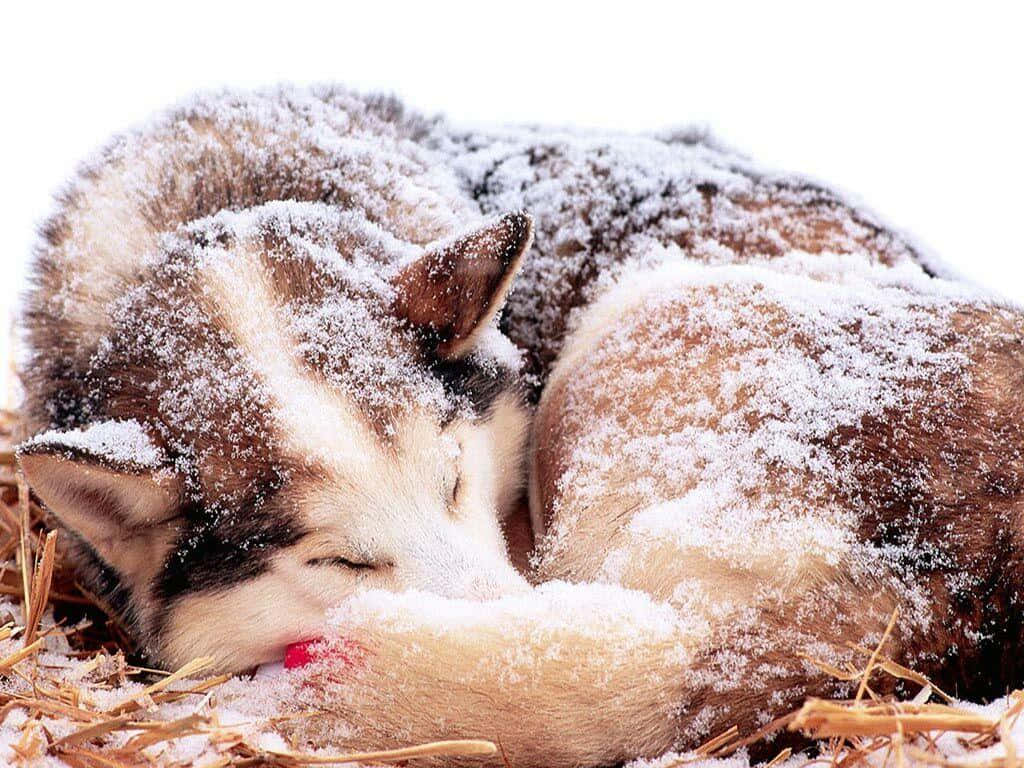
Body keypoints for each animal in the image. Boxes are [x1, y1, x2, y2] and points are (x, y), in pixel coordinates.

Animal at [16, 87, 1024, 766]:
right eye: (340, 561)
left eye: (456, 479)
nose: (507, 619)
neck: (222, 200)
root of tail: (944, 601)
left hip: (624, 341)